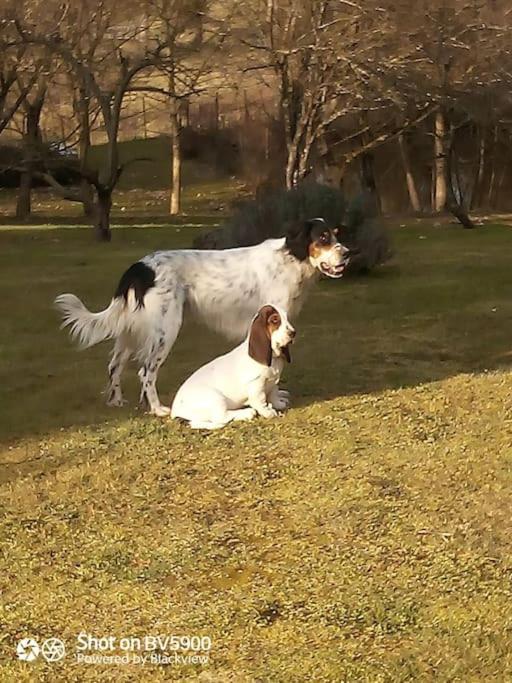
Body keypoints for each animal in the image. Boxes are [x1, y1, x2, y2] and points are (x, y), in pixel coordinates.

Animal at [57, 218, 352, 416]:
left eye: (336, 235)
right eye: (323, 238)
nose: (348, 254)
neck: (290, 258)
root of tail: (140, 268)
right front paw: (275, 399)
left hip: (132, 331)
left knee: (114, 366)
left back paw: (116, 401)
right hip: (166, 330)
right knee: (146, 372)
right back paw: (158, 409)